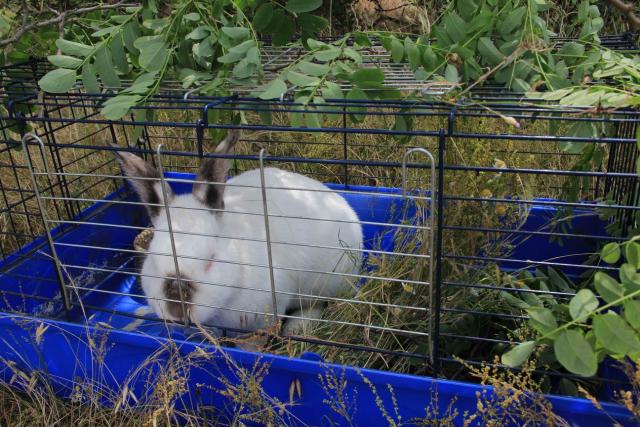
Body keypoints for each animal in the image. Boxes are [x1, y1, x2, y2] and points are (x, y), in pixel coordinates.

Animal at [111, 129, 363, 337]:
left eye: (211, 260)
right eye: (153, 260)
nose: (177, 309)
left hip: (327, 281)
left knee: (318, 304)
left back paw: (297, 327)